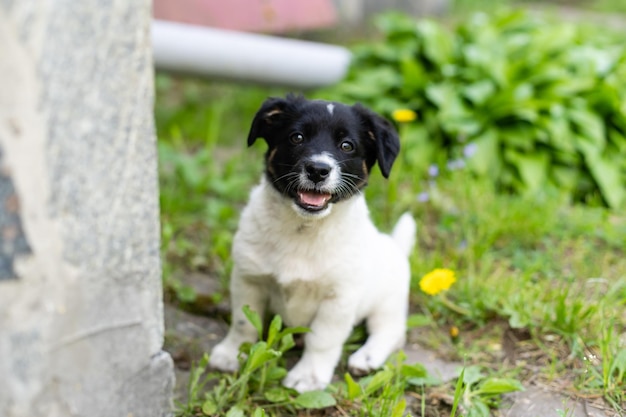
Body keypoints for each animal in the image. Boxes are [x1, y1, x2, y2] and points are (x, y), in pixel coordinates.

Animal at [210, 95, 414, 394]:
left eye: (347, 145)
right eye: (297, 137)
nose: (318, 170)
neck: (304, 230)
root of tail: (396, 247)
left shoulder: (338, 299)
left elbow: (322, 340)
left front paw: (308, 376)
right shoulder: (248, 279)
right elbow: (243, 322)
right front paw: (231, 353)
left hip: (388, 302)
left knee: (391, 331)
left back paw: (366, 357)